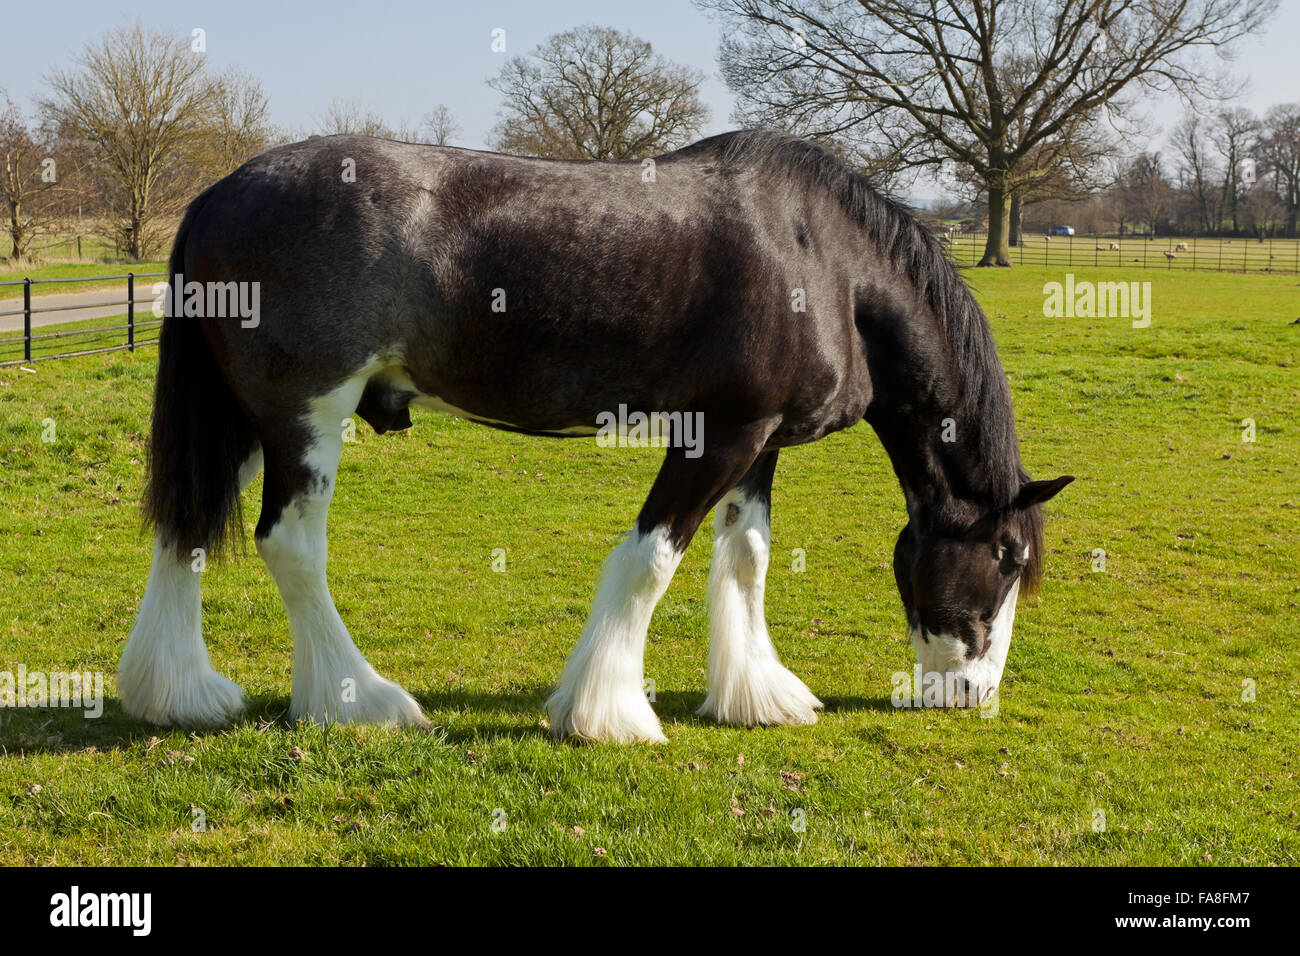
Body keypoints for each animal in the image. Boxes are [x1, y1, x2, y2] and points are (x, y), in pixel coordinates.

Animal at [116, 128, 1071, 738]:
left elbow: (746, 559)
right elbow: (652, 559)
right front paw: (606, 713)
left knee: (185, 526)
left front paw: (758, 695)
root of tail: (216, 195)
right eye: (1009, 558)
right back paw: (362, 701)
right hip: (307, 414)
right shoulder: (719, 434)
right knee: (289, 546)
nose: (975, 692)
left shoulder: (759, 443)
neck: (824, 263)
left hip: (241, 421)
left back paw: (180, 695)